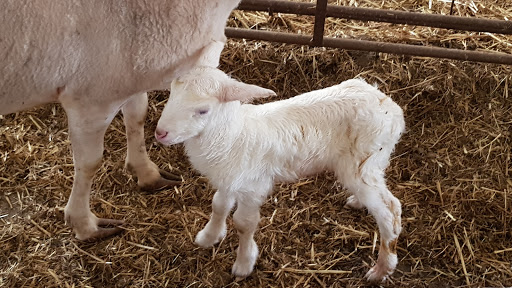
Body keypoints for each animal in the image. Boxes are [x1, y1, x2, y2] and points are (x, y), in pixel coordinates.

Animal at [0, 0, 240, 241]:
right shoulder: (91, 99)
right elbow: (89, 163)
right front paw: (85, 225)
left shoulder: (129, 79)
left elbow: (137, 116)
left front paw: (147, 174)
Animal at [157, 67, 408, 282]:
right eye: (171, 94)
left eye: (202, 110)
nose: (160, 133)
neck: (232, 134)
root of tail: (392, 109)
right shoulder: (229, 179)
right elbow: (218, 205)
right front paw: (209, 237)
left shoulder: (253, 186)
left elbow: (244, 223)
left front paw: (243, 264)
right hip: (373, 162)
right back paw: (357, 201)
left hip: (362, 162)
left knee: (390, 210)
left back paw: (382, 269)